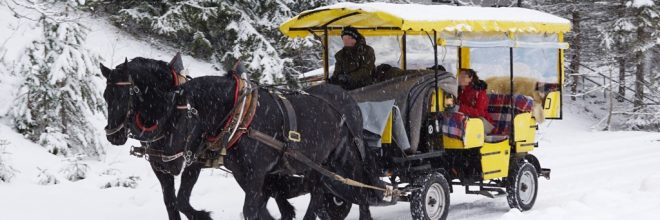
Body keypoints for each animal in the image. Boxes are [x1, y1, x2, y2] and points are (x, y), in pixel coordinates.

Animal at [98, 58, 304, 220]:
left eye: (125, 95)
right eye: (106, 96)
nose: (113, 135)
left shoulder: (193, 162)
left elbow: (181, 200)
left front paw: (202, 215)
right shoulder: (159, 165)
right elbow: (170, 202)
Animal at [162, 74, 384, 220]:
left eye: (181, 118)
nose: (167, 165)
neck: (243, 116)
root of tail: (348, 98)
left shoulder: (257, 172)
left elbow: (251, 210)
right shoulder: (244, 174)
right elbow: (261, 205)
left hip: (347, 156)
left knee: (359, 186)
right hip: (318, 163)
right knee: (318, 192)